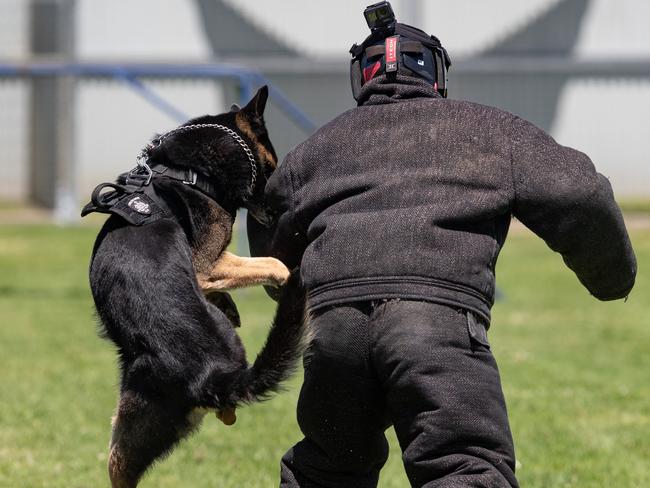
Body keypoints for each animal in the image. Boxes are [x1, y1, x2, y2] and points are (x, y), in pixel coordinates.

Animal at [86, 86, 306, 486]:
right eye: (272, 166)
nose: (277, 212)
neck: (192, 173)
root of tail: (217, 379)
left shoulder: (207, 267)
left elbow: (265, 266)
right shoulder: (207, 266)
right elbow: (274, 264)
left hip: (124, 437)